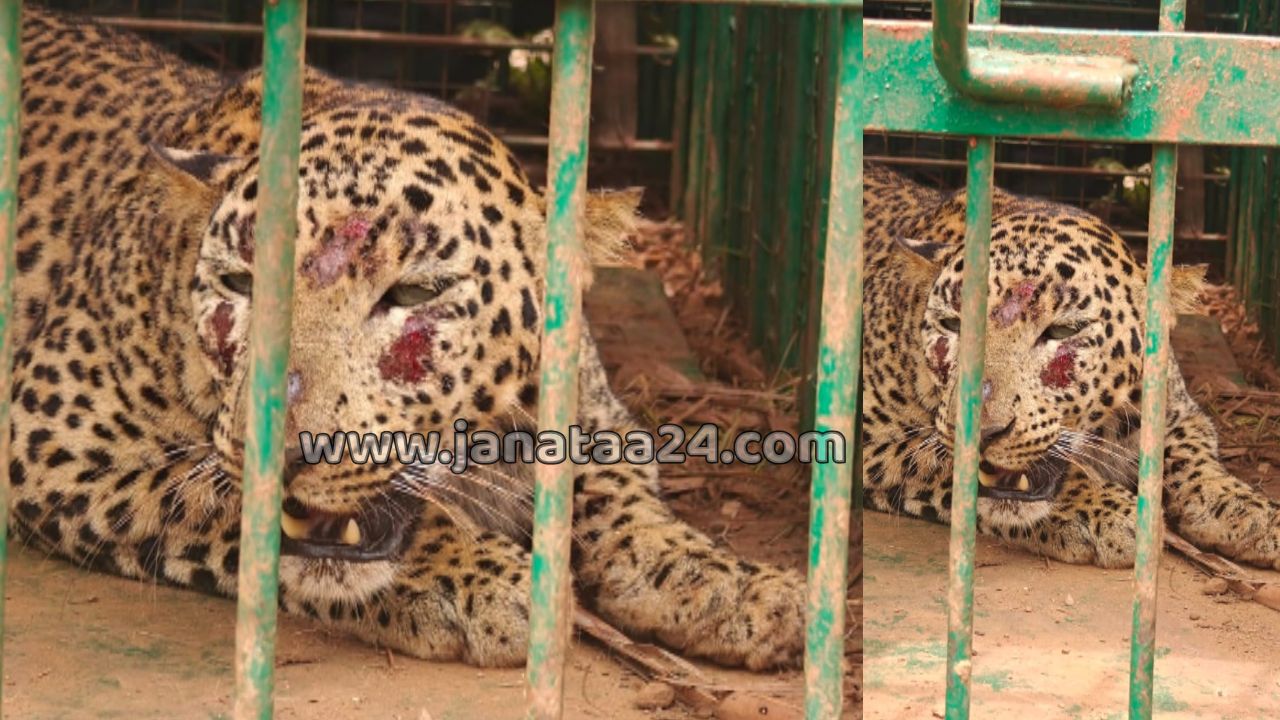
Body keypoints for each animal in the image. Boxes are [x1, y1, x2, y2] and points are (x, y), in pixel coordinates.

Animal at [7, 5, 806, 670]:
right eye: (238, 284)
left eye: (414, 295)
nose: (283, 453)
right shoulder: (55, 436)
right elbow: (215, 500)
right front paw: (479, 583)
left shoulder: (595, 412)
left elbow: (627, 504)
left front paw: (728, 586)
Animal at [861, 162, 1280, 572]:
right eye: (952, 324)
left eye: (1062, 331)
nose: (982, 433)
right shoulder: (873, 437)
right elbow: (937, 460)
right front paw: (1102, 511)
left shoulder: (1177, 409)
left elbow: (1195, 458)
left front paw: (1247, 510)